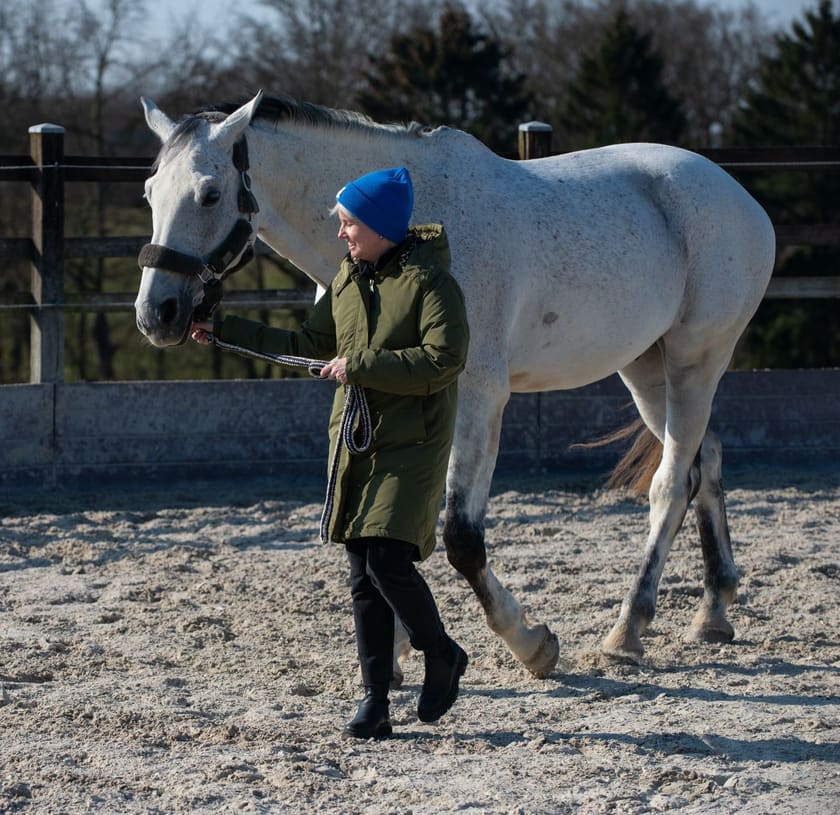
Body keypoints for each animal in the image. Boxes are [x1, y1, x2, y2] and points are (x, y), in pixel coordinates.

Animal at [134, 91, 775, 674]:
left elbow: (462, 537)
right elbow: (378, 527)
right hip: (644, 366)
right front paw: (393, 653)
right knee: (704, 463)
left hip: (696, 360)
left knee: (670, 485)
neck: (406, 236)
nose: (157, 313)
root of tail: (742, 199)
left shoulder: (479, 399)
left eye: (209, 193)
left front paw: (531, 644)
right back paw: (714, 612)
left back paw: (627, 631)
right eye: (149, 192)